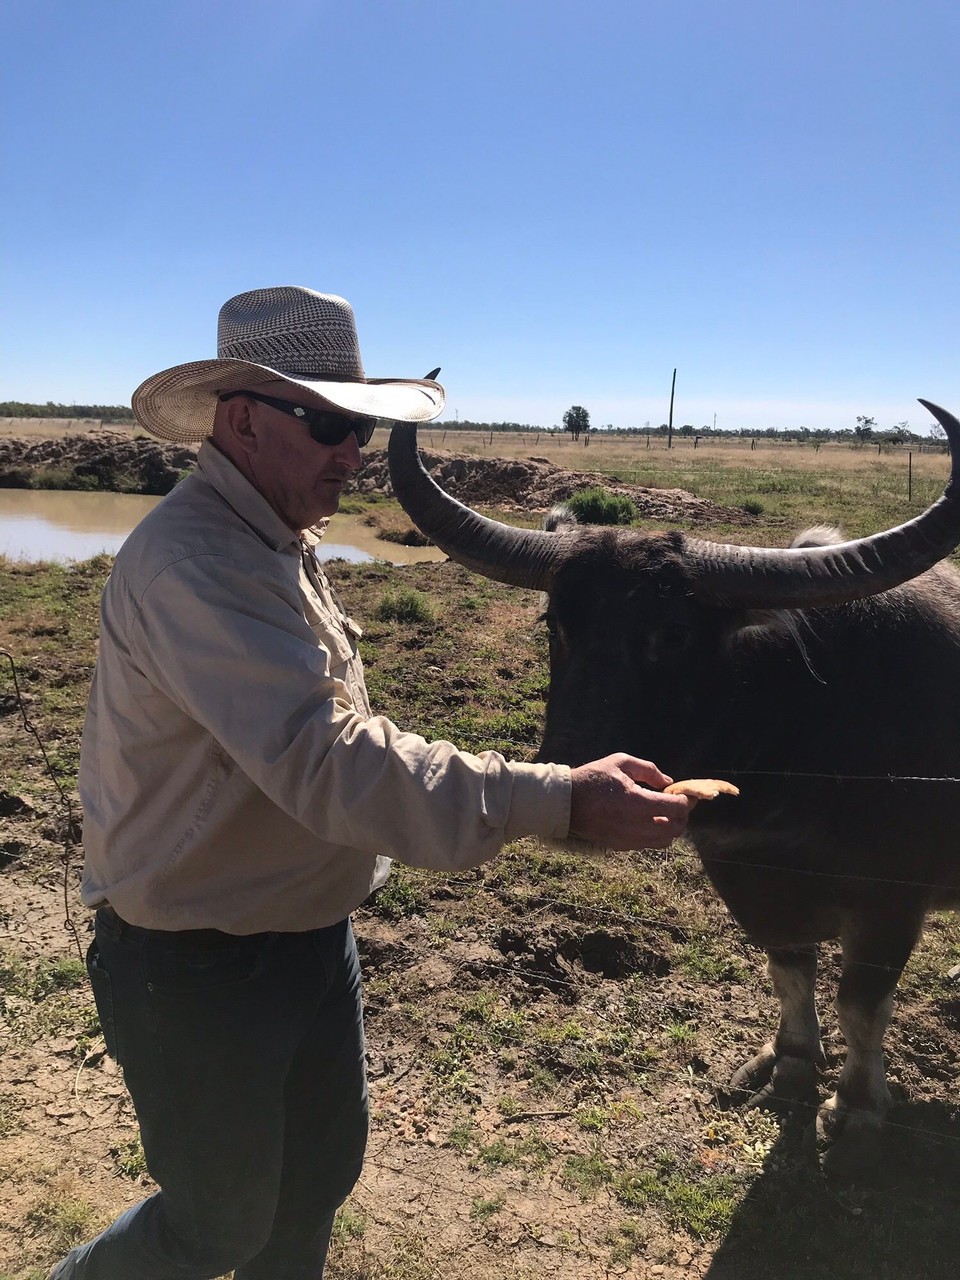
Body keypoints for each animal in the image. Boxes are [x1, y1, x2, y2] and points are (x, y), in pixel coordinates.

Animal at [388, 401, 960, 1177]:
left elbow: (861, 1003)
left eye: (673, 634)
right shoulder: (744, 877)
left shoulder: (891, 900)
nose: (580, 780)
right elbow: (790, 971)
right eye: (555, 622)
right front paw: (787, 1065)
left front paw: (858, 1107)